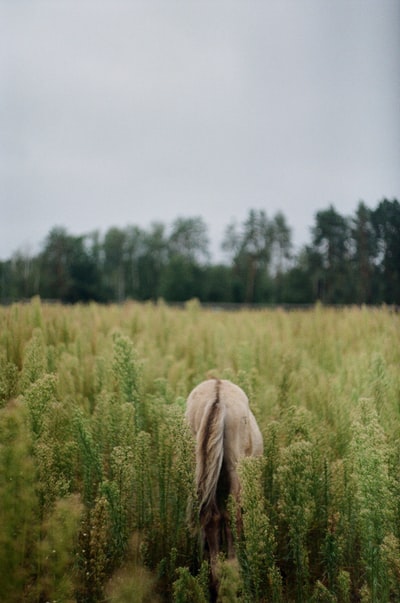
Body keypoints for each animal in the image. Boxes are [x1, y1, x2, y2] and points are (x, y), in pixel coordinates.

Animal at [186, 378, 264, 588]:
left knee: (210, 517)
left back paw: (216, 576)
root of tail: (217, 394)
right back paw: (234, 570)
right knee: (232, 516)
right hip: (235, 470)